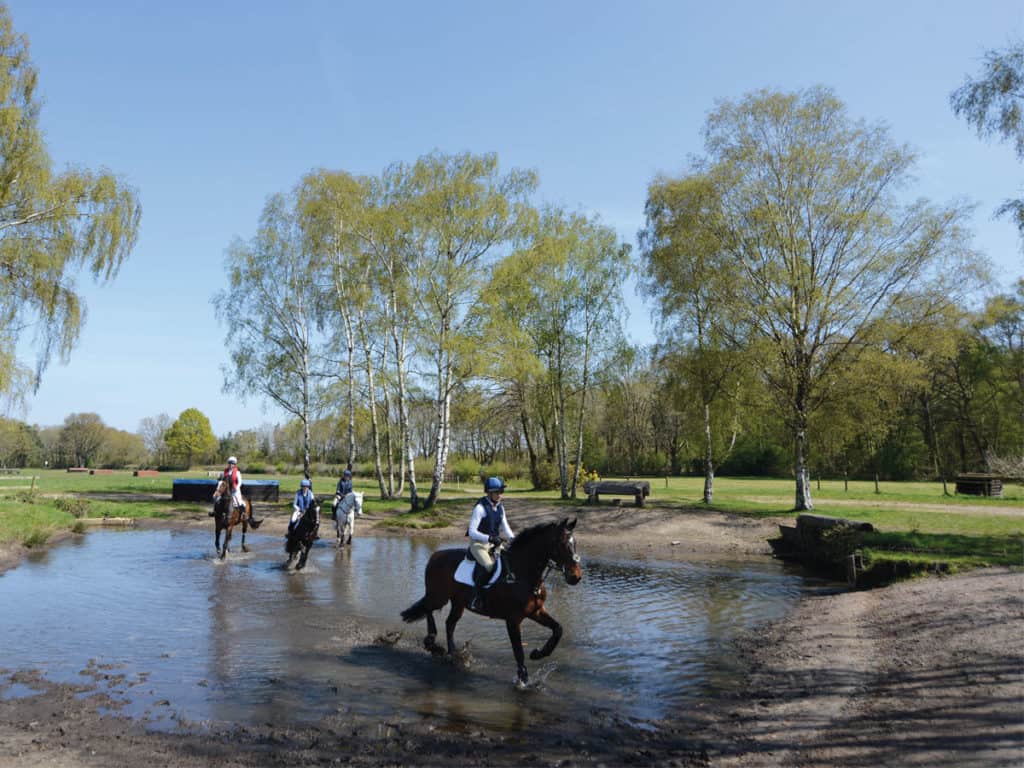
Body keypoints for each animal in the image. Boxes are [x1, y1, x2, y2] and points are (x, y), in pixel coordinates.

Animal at [399, 518, 581, 684]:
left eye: (575, 543)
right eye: (562, 544)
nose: (576, 577)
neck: (523, 575)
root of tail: (435, 556)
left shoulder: (535, 611)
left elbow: (558, 629)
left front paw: (538, 654)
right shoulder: (513, 620)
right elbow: (518, 650)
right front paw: (523, 681)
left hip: (458, 603)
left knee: (449, 623)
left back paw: (452, 654)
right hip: (438, 597)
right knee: (428, 609)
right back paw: (433, 643)